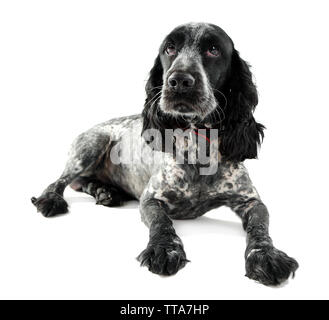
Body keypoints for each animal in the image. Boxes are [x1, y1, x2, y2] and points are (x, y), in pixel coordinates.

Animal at [31, 23, 298, 288]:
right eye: (170, 48)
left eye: (213, 49)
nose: (179, 80)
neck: (198, 147)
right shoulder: (151, 199)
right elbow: (162, 223)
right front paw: (164, 250)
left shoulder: (252, 201)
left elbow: (259, 229)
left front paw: (266, 256)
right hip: (91, 145)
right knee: (61, 181)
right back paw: (53, 200)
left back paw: (105, 192)